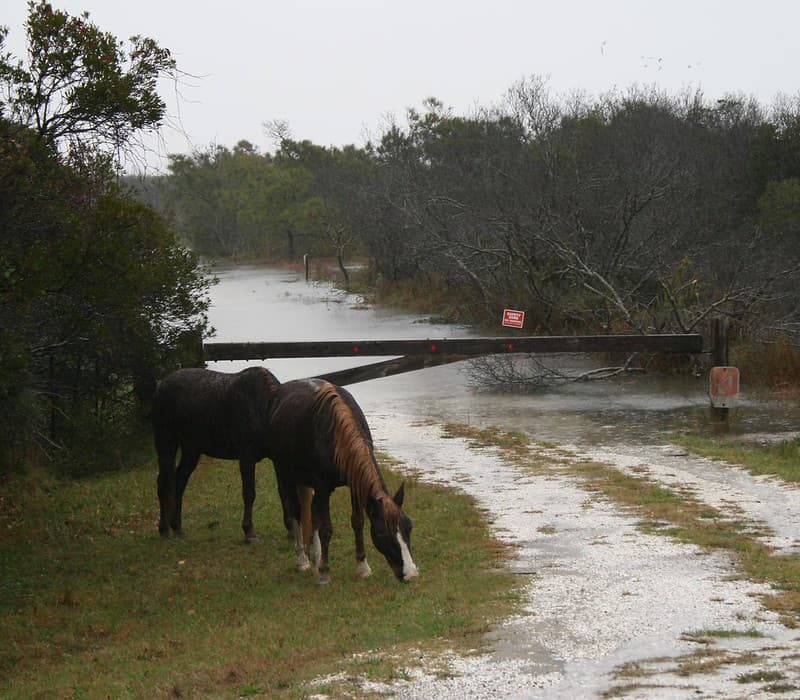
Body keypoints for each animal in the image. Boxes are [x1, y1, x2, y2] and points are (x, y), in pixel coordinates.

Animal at [152, 366, 281, 542]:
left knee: (179, 482)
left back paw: (177, 527)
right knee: (164, 482)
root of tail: (159, 387)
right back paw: (164, 530)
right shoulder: (246, 457)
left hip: (191, 449)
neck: (263, 410)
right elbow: (249, 494)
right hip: (166, 442)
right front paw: (249, 532)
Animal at [267, 377, 419, 584]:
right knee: (294, 512)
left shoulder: (355, 483)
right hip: (285, 473)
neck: (336, 436)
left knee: (311, 514)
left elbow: (357, 521)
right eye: (381, 533)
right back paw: (303, 560)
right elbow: (326, 529)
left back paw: (315, 557)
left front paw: (362, 567)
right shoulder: (322, 487)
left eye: (408, 527)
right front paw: (324, 573)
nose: (410, 573)